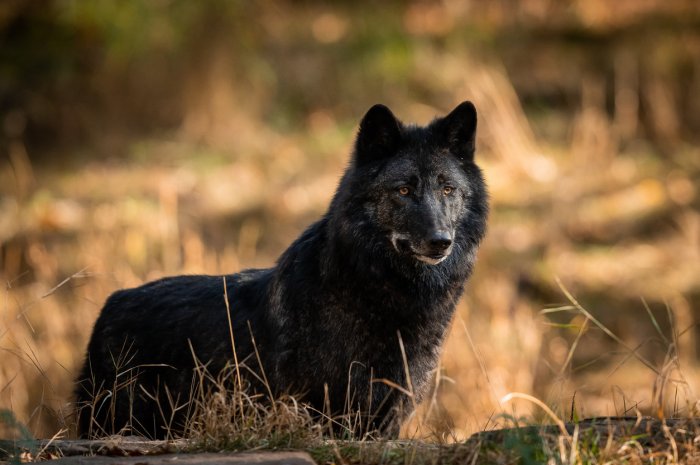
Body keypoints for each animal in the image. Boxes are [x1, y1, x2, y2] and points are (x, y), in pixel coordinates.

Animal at [75, 101, 486, 438]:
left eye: (448, 189)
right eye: (403, 190)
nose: (440, 241)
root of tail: (111, 303)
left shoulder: (386, 416)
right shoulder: (330, 413)